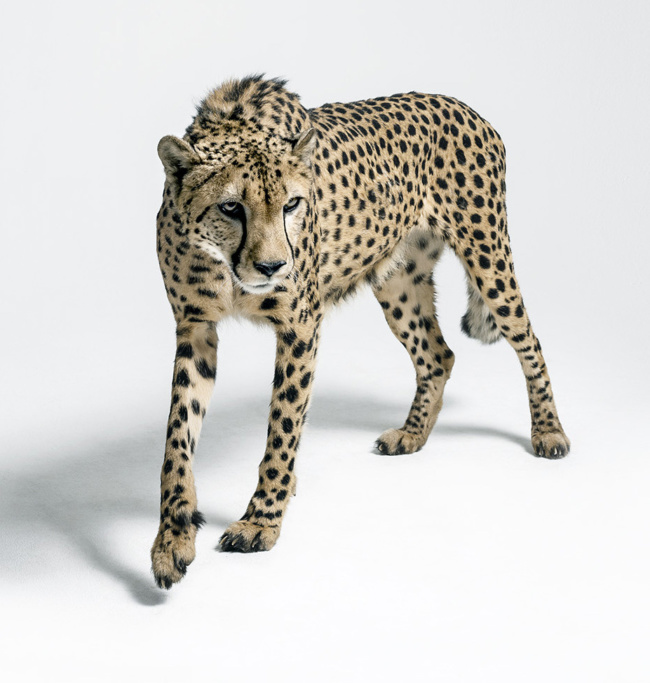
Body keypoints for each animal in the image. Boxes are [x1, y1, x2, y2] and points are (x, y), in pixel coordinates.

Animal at [151, 75, 570, 589]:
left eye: (291, 204)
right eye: (230, 207)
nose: (273, 266)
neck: (224, 268)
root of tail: (463, 106)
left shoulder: (300, 326)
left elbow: (282, 430)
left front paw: (261, 520)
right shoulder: (195, 328)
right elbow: (177, 440)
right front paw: (172, 539)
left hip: (488, 256)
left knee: (529, 341)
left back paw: (548, 432)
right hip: (398, 282)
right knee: (438, 355)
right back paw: (411, 435)